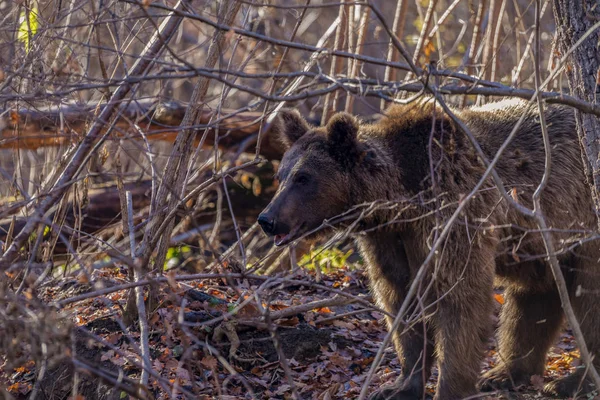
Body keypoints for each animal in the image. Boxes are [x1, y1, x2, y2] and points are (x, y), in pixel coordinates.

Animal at [256, 99, 600, 400]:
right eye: (281, 175)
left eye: (304, 177)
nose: (267, 219)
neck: (400, 202)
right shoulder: (389, 241)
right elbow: (400, 302)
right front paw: (398, 386)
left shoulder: (453, 217)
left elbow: (460, 299)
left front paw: (450, 387)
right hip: (542, 242)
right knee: (535, 296)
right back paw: (505, 373)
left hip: (580, 221)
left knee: (585, 297)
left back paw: (571, 381)